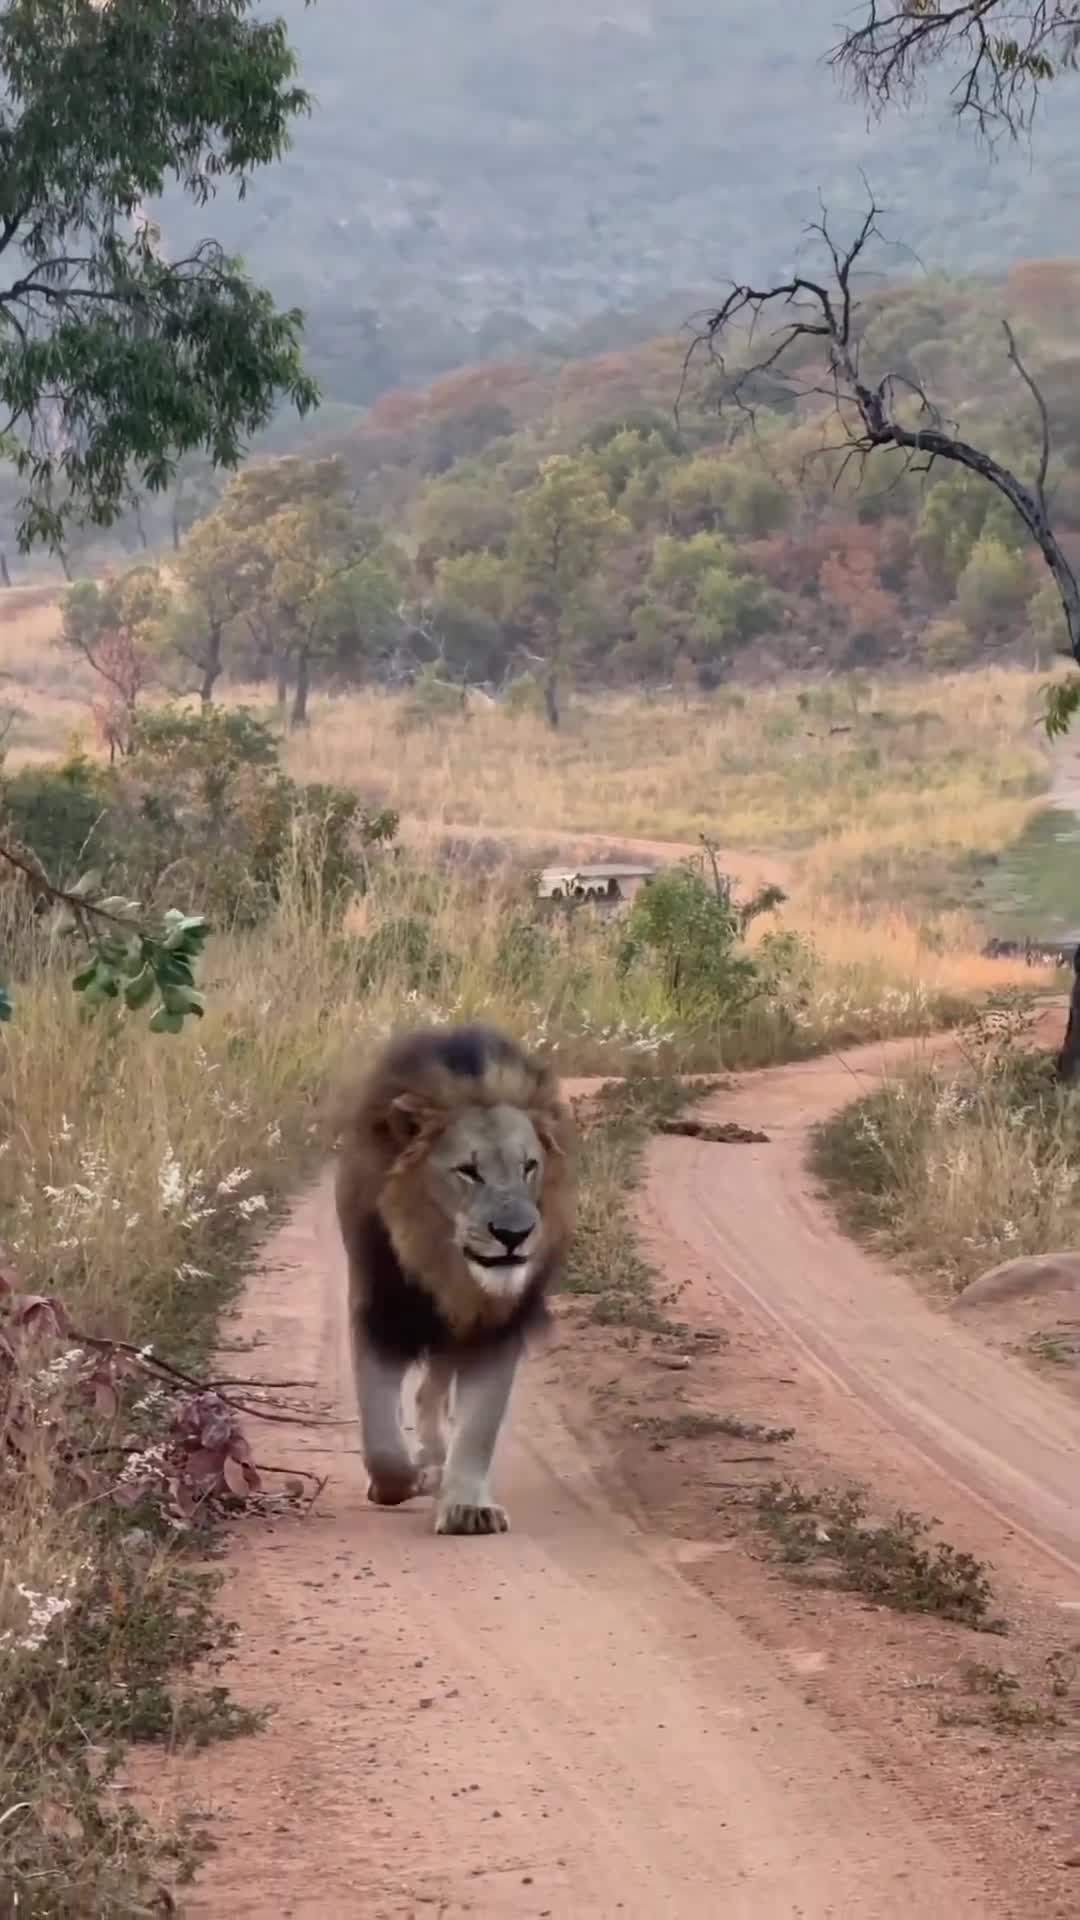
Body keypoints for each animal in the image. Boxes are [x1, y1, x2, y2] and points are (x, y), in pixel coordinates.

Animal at [334, 1029, 572, 1536]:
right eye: (468, 1170)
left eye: (529, 1166)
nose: (515, 1235)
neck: (446, 1268)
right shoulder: (379, 1311)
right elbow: (380, 1433)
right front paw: (398, 1483)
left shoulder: (498, 1328)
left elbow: (479, 1426)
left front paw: (466, 1507)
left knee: (432, 1392)